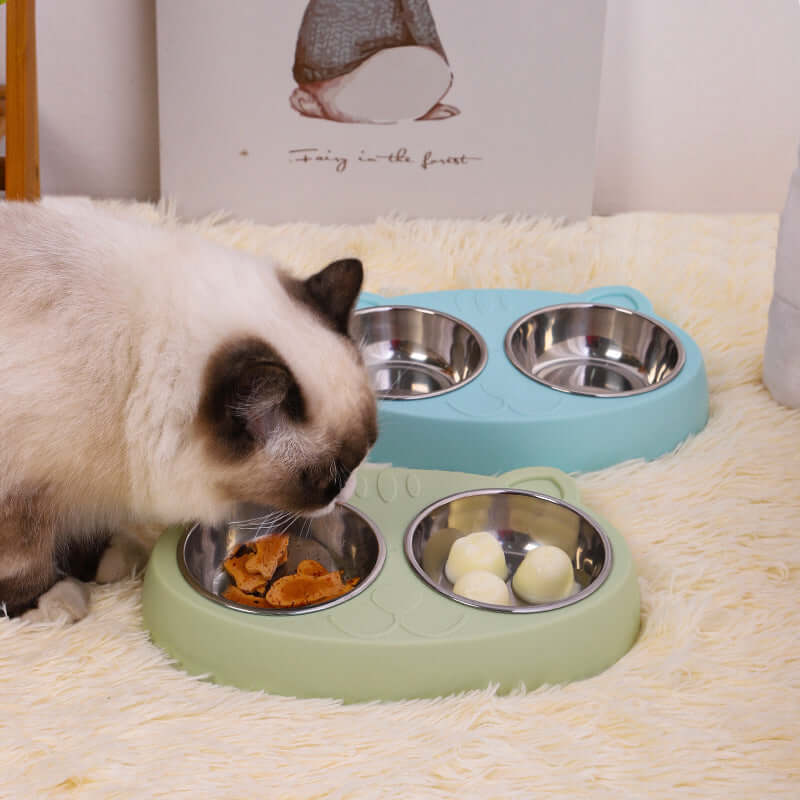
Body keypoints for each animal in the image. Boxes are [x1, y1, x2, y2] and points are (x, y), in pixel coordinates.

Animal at [0, 202, 378, 624]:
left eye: (366, 453)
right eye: (327, 479)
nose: (347, 492)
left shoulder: (89, 478)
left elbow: (88, 530)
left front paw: (108, 561)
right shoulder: (23, 492)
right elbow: (24, 562)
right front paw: (52, 602)